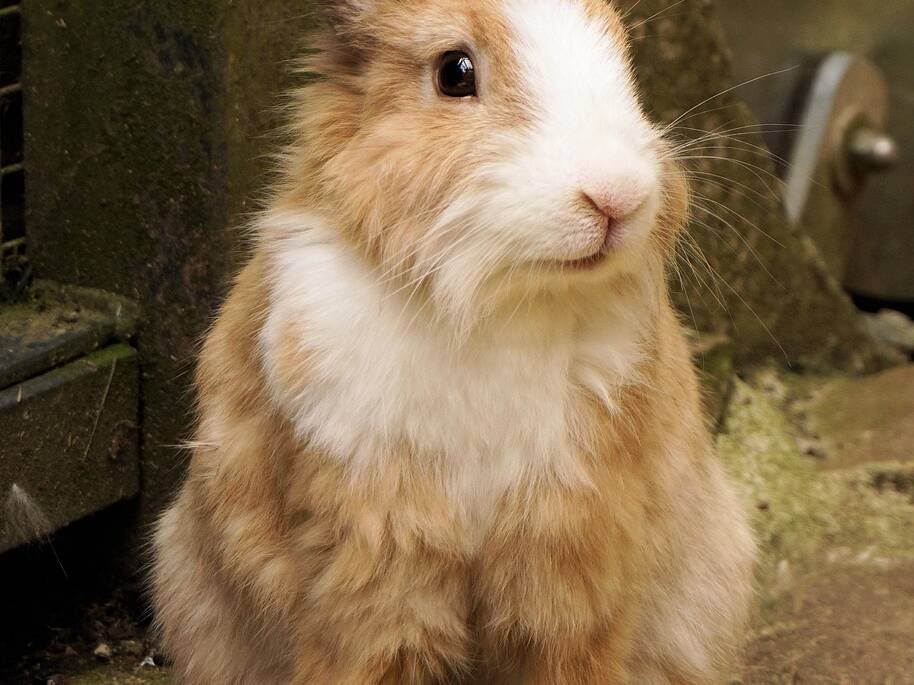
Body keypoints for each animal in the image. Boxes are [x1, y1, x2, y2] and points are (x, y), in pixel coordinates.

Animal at [150, 0, 757, 683]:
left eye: (623, 54)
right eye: (454, 73)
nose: (617, 196)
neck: (497, 305)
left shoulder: (572, 554)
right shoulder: (371, 549)